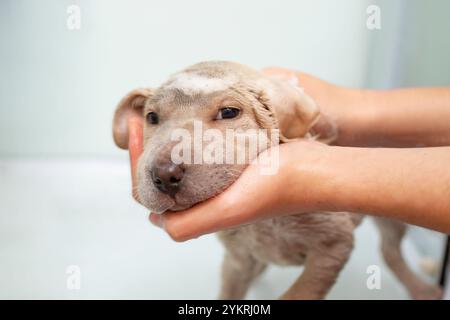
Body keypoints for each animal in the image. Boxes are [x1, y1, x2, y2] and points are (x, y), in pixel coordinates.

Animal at [110, 60, 442, 300]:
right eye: (151, 118)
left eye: (229, 112)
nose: (164, 175)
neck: (264, 223)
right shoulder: (238, 259)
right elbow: (230, 288)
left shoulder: (334, 244)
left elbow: (301, 291)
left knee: (390, 251)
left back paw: (424, 287)